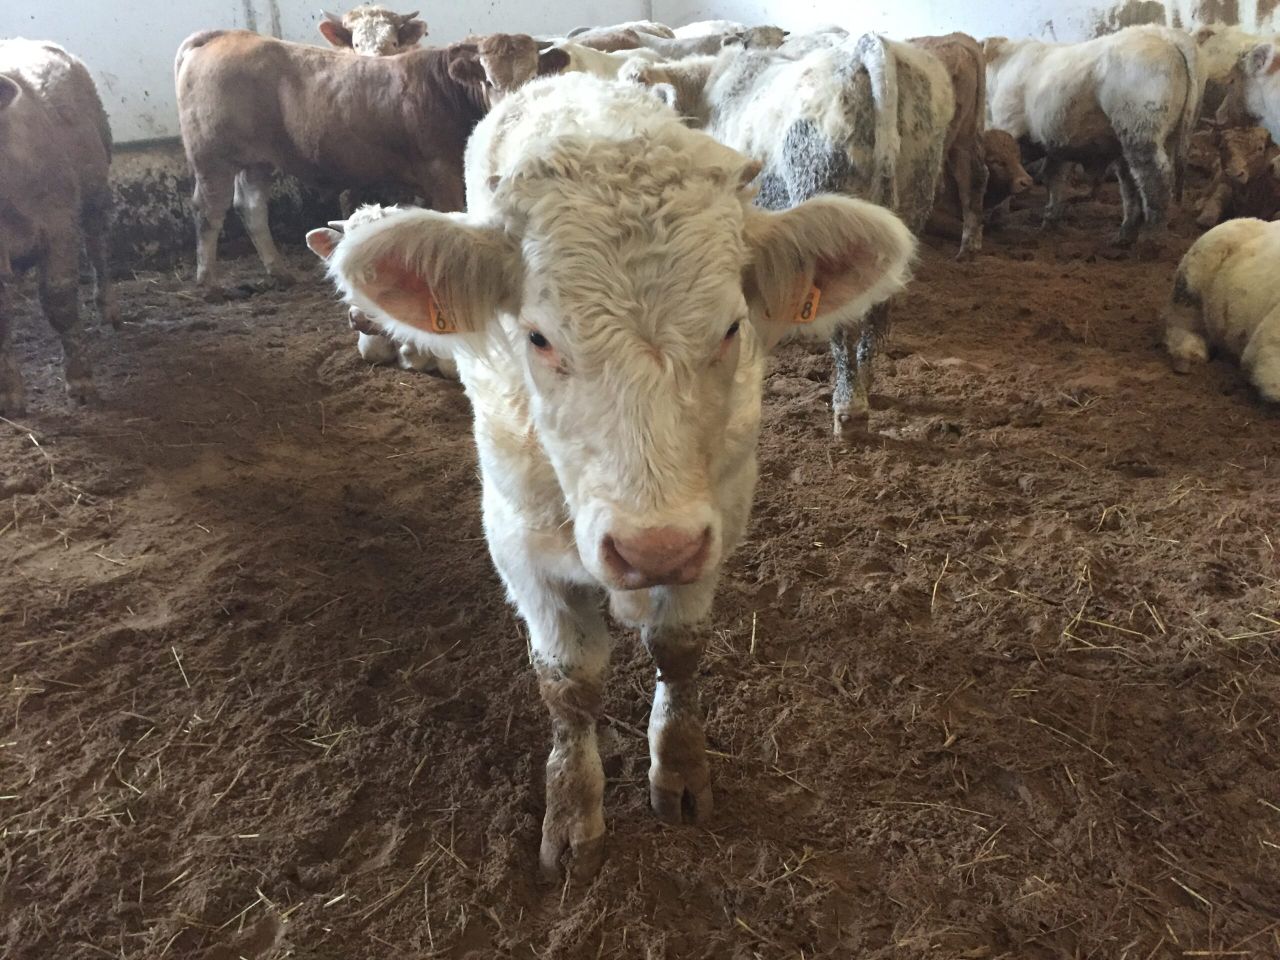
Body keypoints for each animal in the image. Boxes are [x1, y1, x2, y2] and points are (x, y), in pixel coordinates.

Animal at [0, 39, 118, 414]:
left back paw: (107, 307)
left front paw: (80, 380)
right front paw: (9, 394)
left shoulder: (59, 223)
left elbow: (60, 300)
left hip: (95, 191)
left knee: (98, 247)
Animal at [174, 30, 487, 291]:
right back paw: (209, 281)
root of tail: (226, 35)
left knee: (251, 207)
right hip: (213, 160)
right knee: (208, 212)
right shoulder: (441, 173)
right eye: (489, 78)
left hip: (257, 163)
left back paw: (280, 272)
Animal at [305, 73, 915, 880]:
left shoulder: (719, 513)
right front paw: (573, 809)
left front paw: (679, 768)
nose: (653, 547)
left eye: (731, 328)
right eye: (537, 337)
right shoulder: (518, 545)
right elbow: (568, 684)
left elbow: (679, 648)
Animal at [984, 26, 1203, 245]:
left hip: (1141, 132)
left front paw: (997, 219)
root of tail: (1165, 35)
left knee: (1155, 178)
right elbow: (1054, 179)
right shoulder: (1056, 140)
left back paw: (1151, 237)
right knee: (1131, 182)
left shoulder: (1008, 124)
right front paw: (1049, 222)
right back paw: (1124, 236)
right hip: (1153, 138)